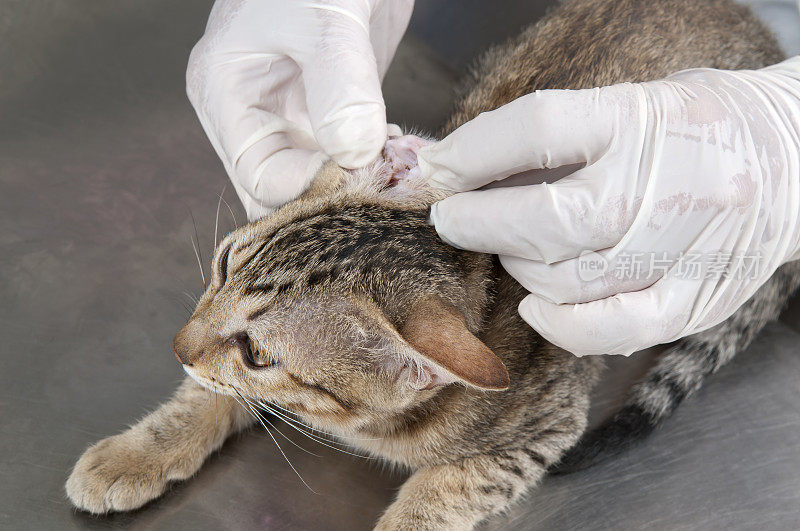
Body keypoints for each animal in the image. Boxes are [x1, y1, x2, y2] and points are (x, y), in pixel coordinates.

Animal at [65, 0, 796, 528]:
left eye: (259, 354)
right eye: (220, 265)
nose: (176, 345)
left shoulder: (542, 431)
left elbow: (442, 493)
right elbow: (204, 396)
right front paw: (136, 452)